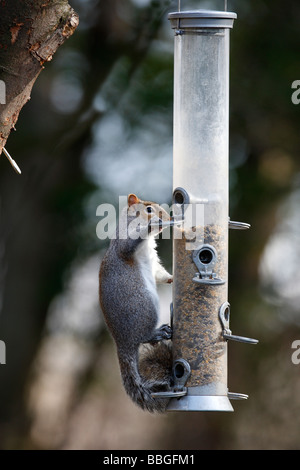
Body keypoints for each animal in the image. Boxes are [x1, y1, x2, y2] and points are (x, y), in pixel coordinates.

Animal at [98, 193, 173, 414]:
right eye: (148, 209)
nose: (166, 217)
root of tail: (122, 343)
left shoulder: (154, 262)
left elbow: (159, 274)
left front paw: (172, 278)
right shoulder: (124, 242)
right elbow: (129, 244)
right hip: (145, 307)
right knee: (144, 337)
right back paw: (158, 332)